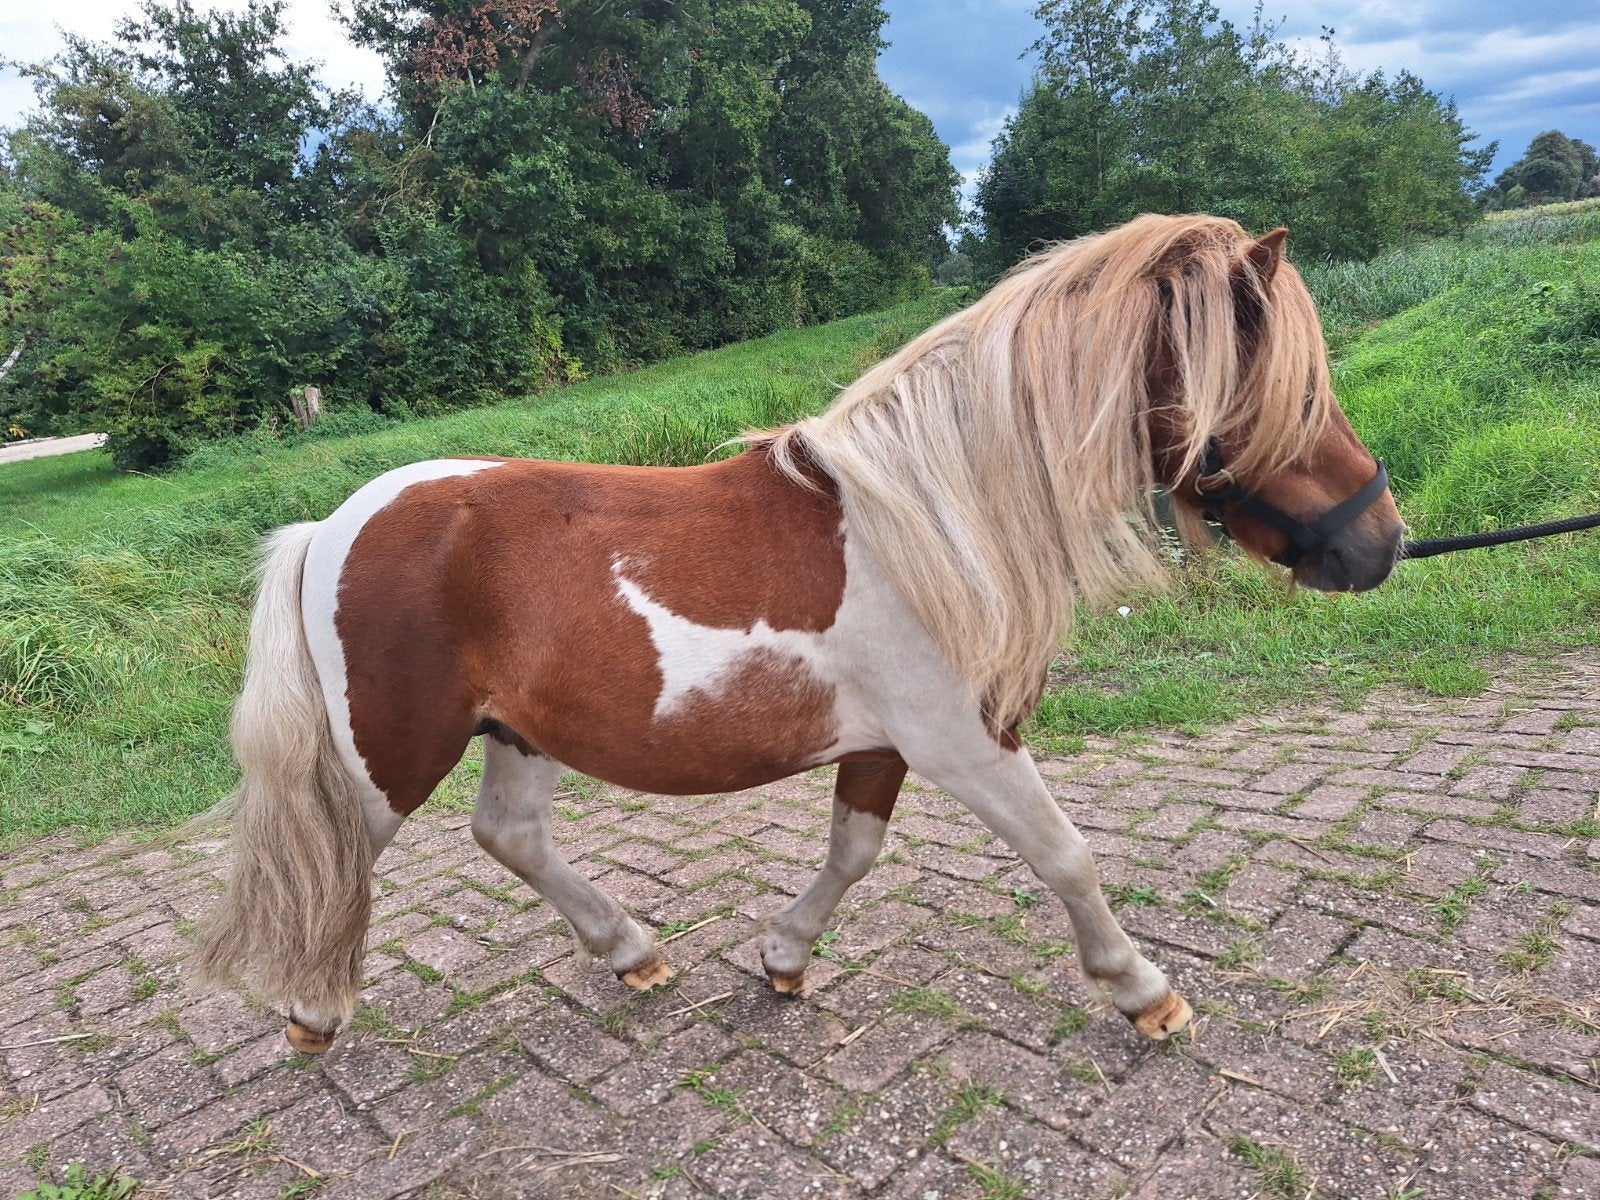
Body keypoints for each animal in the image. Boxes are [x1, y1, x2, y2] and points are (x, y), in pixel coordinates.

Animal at [192, 213, 1405, 1056]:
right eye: (1291, 393)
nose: (1380, 542)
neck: (930, 519)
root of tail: (332, 525)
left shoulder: (885, 744)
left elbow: (852, 852)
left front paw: (782, 959)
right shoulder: (964, 743)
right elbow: (1065, 853)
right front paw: (1144, 994)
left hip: (517, 734)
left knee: (510, 836)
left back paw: (632, 954)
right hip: (391, 756)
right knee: (340, 861)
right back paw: (312, 1013)